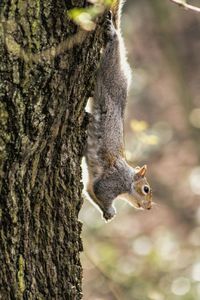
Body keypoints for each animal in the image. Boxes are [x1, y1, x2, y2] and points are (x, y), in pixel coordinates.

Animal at [85, 0, 152, 220]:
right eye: (146, 189)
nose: (149, 207)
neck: (128, 181)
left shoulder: (93, 185)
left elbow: (89, 191)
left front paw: (107, 213)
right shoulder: (111, 183)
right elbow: (99, 192)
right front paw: (110, 210)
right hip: (109, 68)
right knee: (114, 47)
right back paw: (113, 33)